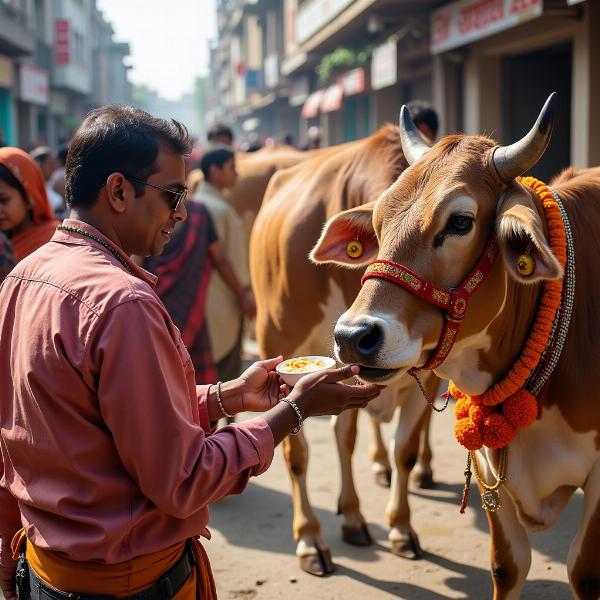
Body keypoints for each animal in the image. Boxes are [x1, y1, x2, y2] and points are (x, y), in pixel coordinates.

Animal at [248, 126, 440, 576]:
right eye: (380, 238)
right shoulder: (281, 346)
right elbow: (297, 453)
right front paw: (308, 538)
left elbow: (404, 451)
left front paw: (401, 527)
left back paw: (355, 512)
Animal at [314, 91, 600, 596]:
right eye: (378, 222)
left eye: (462, 221)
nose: (352, 337)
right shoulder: (491, 470)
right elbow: (508, 566)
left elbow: (583, 572)